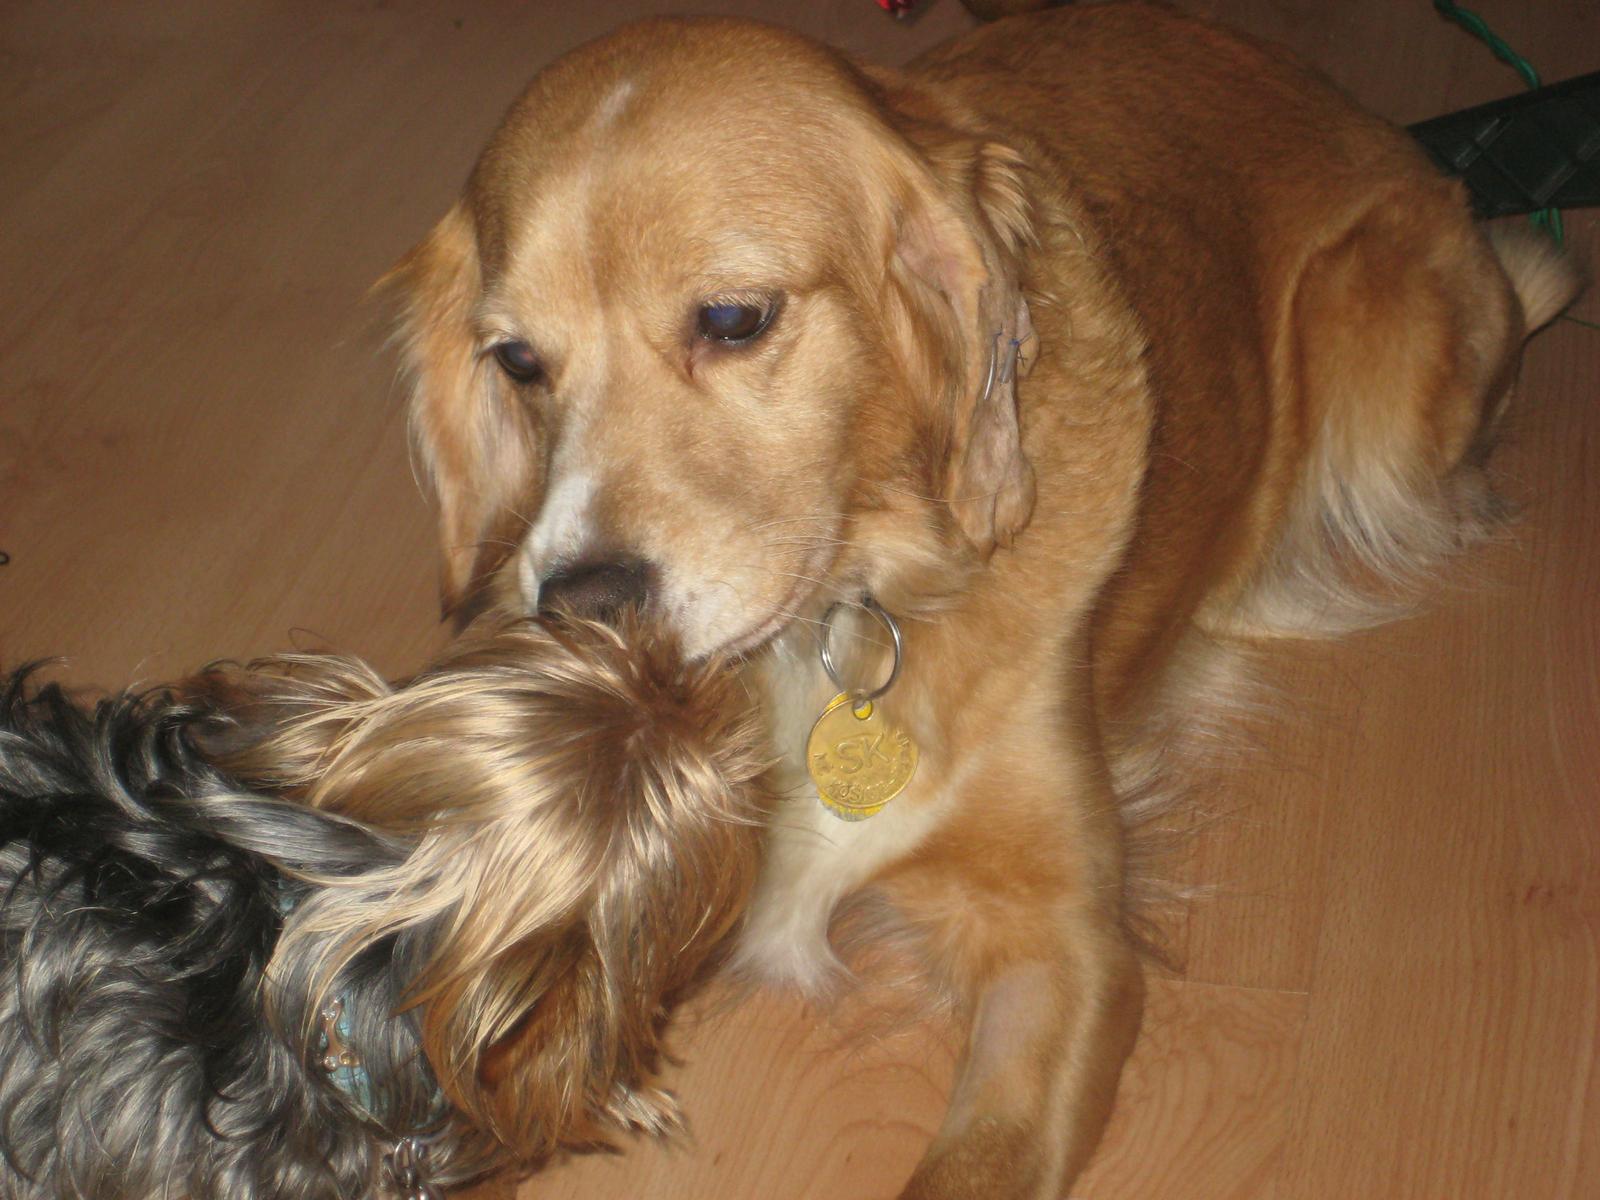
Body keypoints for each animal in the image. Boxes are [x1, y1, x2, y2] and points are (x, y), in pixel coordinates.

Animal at [383, 4, 1582, 1197]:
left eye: (732, 318)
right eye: (517, 361)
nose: (579, 602)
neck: (841, 619)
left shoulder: (1064, 945)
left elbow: (974, 1163)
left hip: (1380, 360)